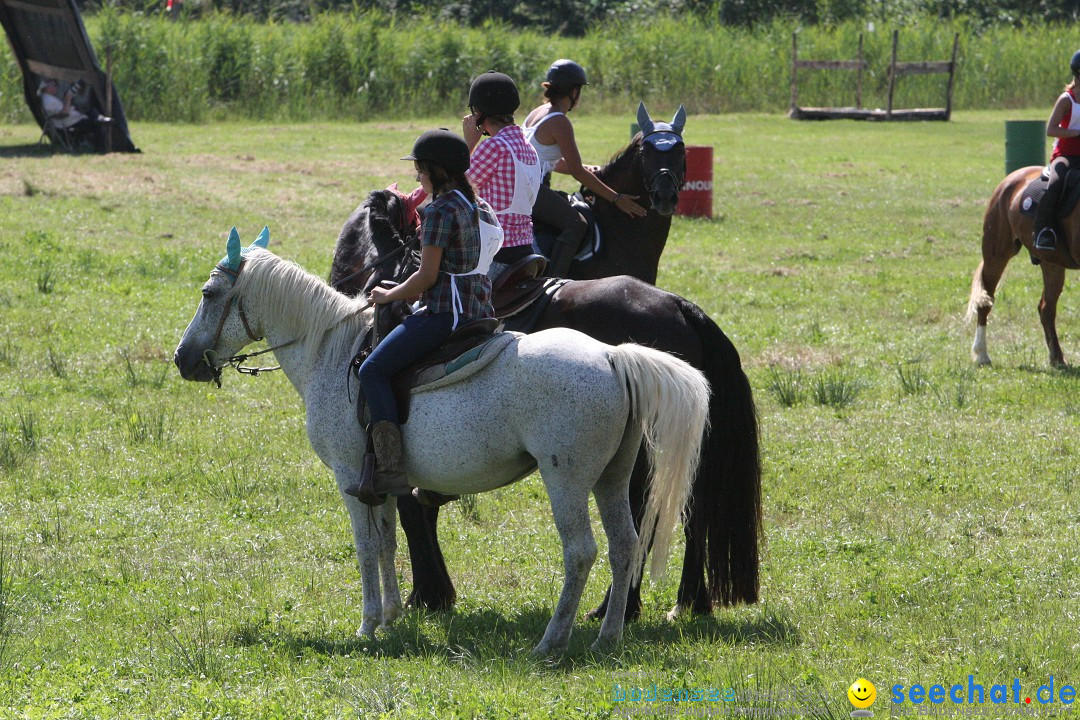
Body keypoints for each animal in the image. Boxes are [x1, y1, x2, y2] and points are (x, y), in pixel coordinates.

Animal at [328, 188, 760, 621]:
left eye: (347, 251)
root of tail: (679, 307)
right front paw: (433, 591)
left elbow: (412, 511)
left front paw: (429, 592)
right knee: (689, 509)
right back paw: (689, 599)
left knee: (646, 512)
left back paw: (619, 606)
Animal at [972, 167, 1080, 367]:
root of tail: (1012, 177)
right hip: (996, 255)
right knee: (985, 302)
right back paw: (982, 354)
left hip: (1051, 263)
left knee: (1046, 309)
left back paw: (1057, 358)